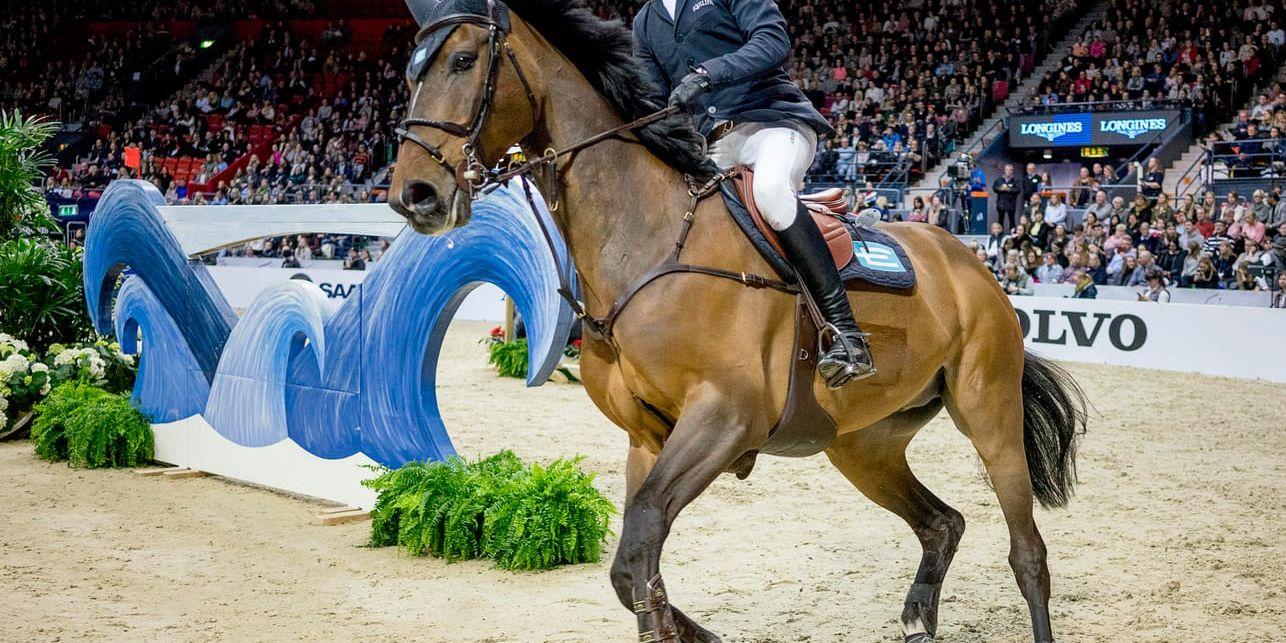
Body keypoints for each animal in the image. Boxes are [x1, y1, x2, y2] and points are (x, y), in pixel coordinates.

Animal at [388, 2, 1085, 640]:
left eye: (463, 60)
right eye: (410, 72)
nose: (413, 196)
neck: (646, 238)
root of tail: (970, 262)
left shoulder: (725, 417)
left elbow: (640, 542)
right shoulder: (648, 436)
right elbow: (632, 568)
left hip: (988, 413)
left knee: (1028, 553)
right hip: (863, 444)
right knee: (942, 523)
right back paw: (918, 616)